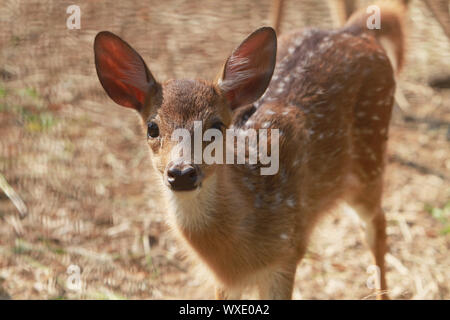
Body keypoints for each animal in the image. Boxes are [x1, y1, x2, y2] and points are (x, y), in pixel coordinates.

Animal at [94, 2, 404, 298]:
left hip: (370, 160)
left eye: (217, 125)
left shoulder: (287, 253)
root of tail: (354, 31)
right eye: (152, 127)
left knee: (377, 224)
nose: (181, 173)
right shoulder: (224, 280)